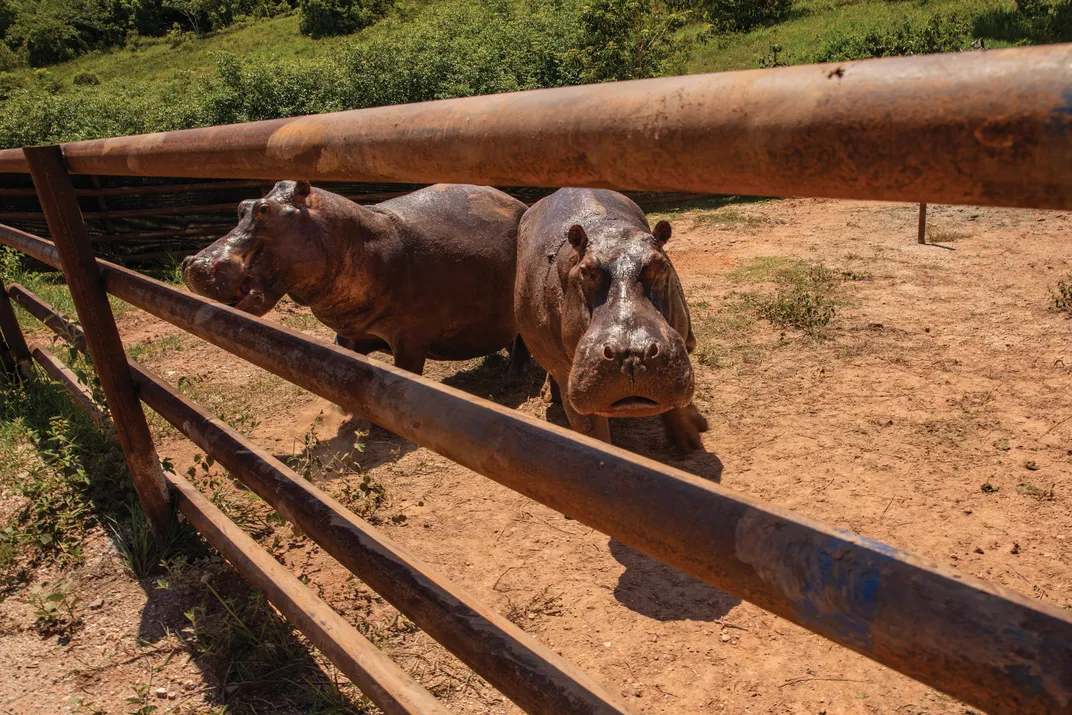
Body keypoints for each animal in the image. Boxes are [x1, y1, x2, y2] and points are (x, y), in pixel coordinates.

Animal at [182, 182, 529, 375]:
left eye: (264, 210)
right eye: (243, 206)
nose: (194, 263)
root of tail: (521, 203)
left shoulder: (411, 338)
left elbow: (407, 374)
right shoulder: (348, 334)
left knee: (521, 341)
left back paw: (512, 375)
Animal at [514, 187, 707, 450]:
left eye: (661, 264)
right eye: (586, 272)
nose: (632, 354)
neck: (609, 230)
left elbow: (675, 403)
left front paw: (690, 440)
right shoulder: (568, 374)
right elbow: (590, 428)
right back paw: (548, 395)